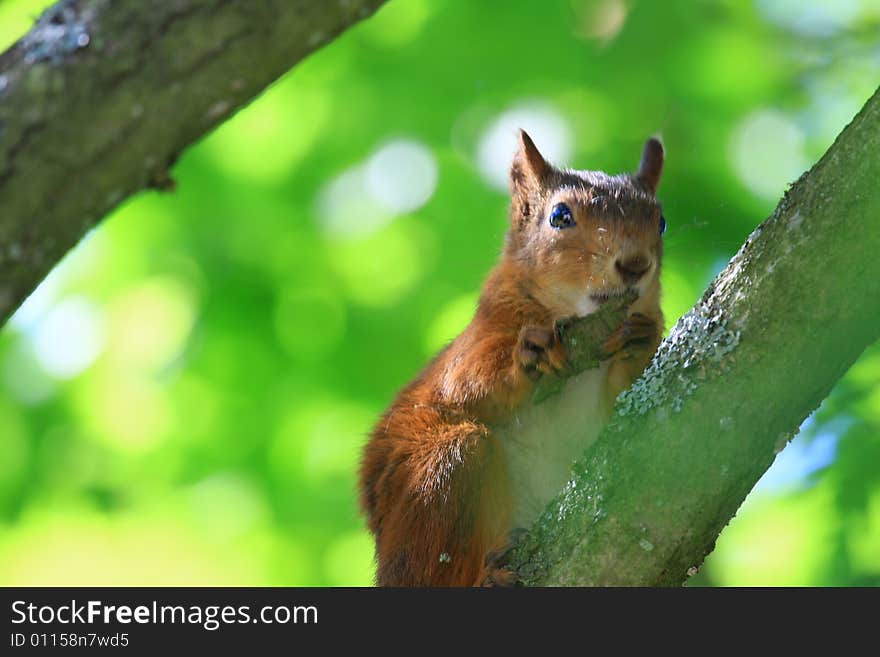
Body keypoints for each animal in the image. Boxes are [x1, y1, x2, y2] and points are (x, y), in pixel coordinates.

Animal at [354, 128, 664, 584]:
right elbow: (466, 381)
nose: (636, 264)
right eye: (560, 217)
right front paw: (530, 354)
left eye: (661, 221)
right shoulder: (482, 333)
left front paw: (640, 340)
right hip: (438, 477)